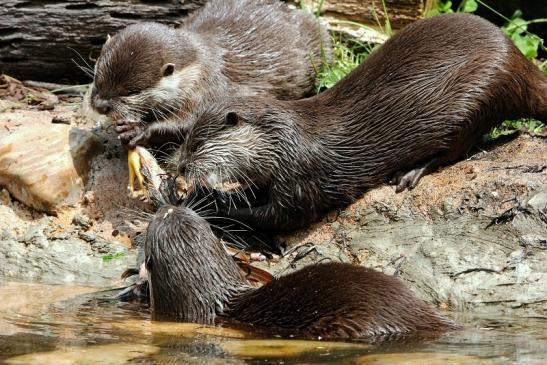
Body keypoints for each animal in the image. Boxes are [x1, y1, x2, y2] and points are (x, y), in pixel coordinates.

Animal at [88, 0, 332, 148]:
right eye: (97, 78)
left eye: (132, 91)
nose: (100, 105)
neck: (197, 68)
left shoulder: (211, 88)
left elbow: (190, 122)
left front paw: (137, 129)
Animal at [179, 13, 547, 233]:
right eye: (187, 143)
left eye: (196, 145)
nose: (181, 168)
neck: (286, 143)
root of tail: (521, 64)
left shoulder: (302, 179)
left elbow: (280, 217)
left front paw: (212, 203)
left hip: (479, 94)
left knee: (455, 149)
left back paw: (408, 173)